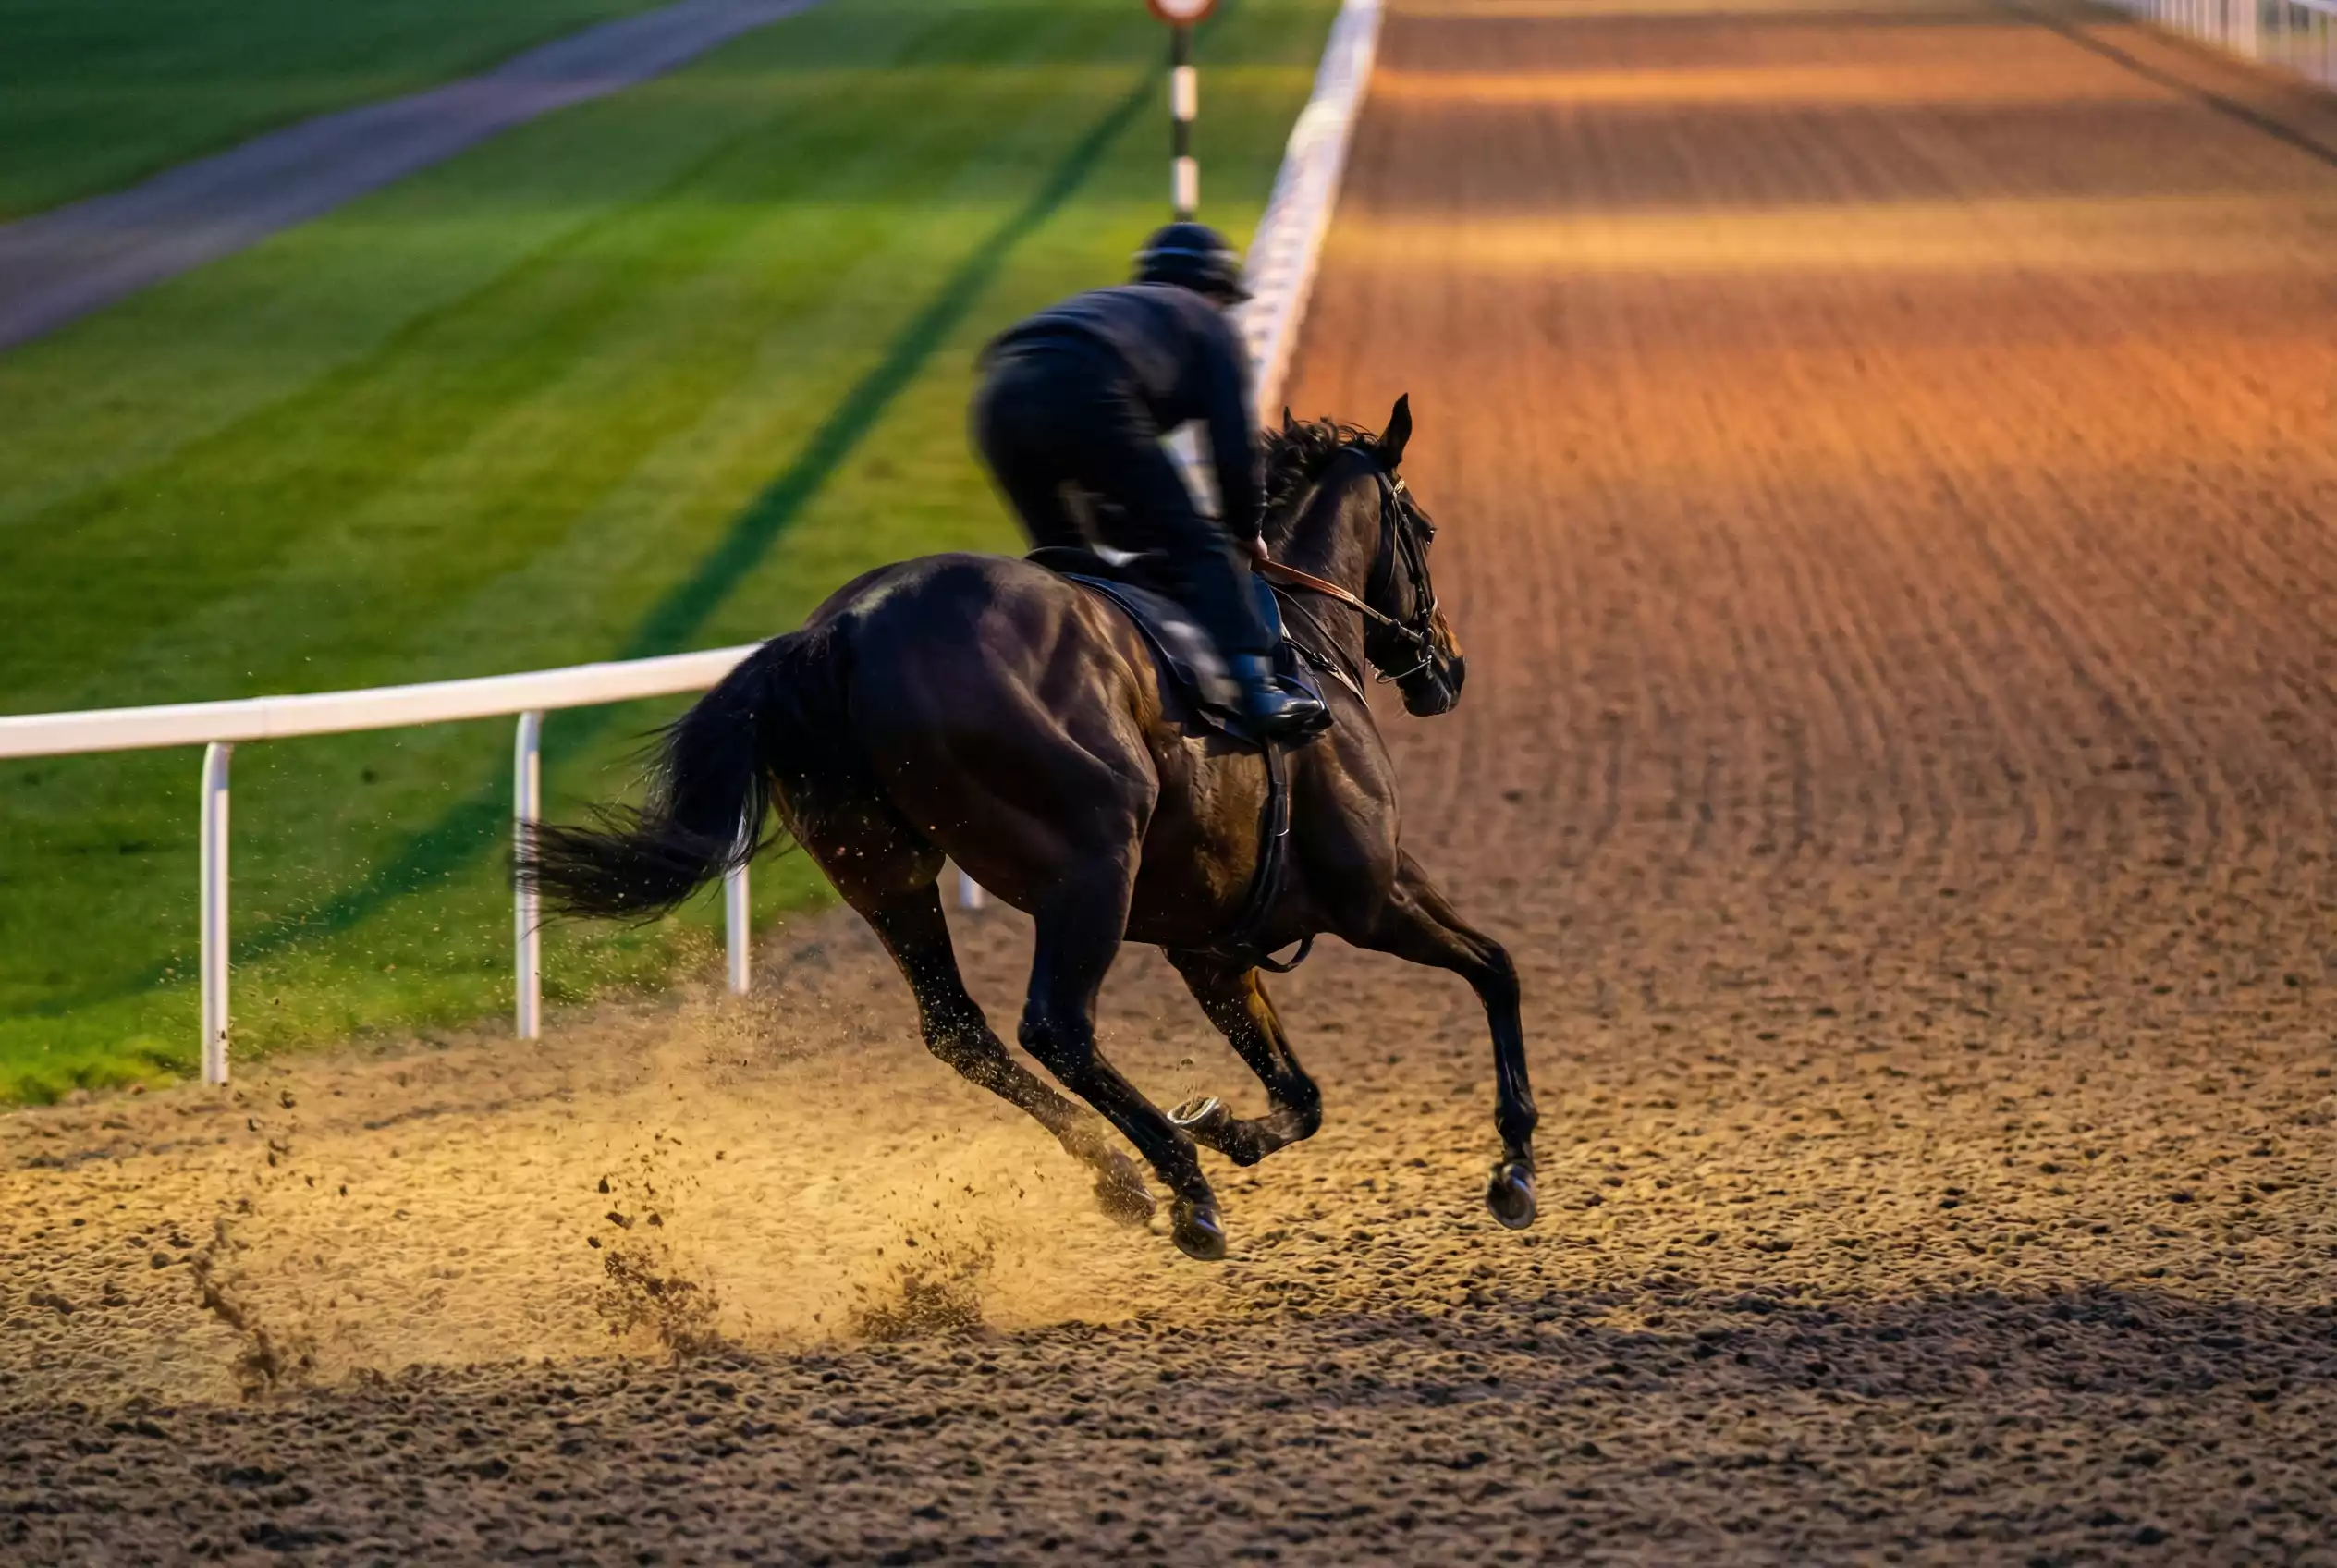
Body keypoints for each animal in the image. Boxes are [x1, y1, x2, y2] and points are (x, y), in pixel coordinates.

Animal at [522, 396, 1538, 1261]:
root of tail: (838, 633)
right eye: (1425, 529)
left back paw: (1124, 1170)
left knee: (958, 1027)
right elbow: (1494, 966)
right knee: (1056, 1025)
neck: (1299, 644)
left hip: (882, 873)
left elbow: (1302, 1092)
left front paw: (1228, 1123)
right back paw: (1183, 1187)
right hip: (1093, 859)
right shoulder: (1373, 891)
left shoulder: (1213, 946)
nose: (1446, 666)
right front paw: (1516, 1166)